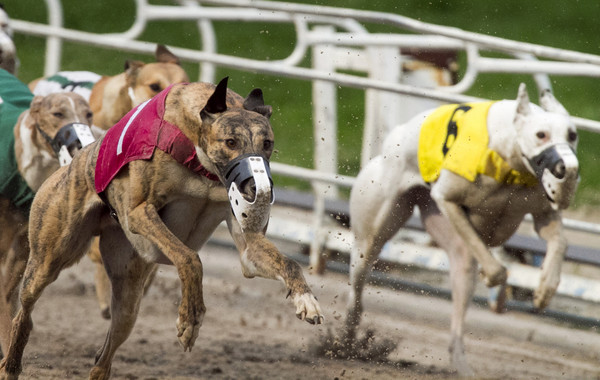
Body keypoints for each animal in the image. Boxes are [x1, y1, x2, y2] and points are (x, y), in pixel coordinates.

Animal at [344, 81, 580, 376]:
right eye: (541, 135)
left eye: (572, 135)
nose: (567, 169)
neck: (510, 162)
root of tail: (394, 135)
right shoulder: (446, 199)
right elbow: (497, 270)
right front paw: (493, 277)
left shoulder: (543, 213)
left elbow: (560, 243)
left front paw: (545, 290)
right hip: (373, 232)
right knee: (357, 285)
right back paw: (347, 335)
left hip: (455, 254)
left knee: (458, 311)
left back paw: (462, 367)